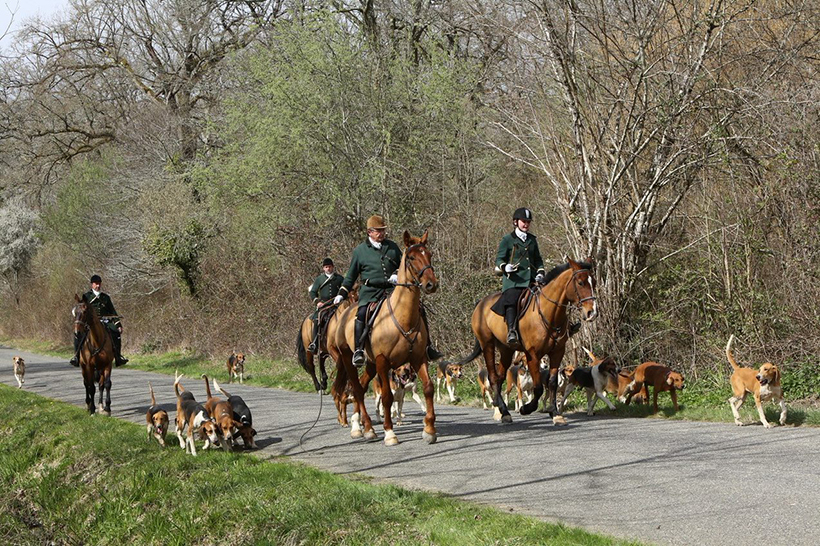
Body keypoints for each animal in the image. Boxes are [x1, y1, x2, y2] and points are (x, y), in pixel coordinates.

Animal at [328, 227, 442, 444]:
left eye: (429, 254)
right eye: (412, 257)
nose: (431, 284)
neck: (402, 317)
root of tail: (344, 314)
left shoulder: (419, 358)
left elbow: (429, 388)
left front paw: (430, 430)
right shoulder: (383, 362)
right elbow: (388, 397)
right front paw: (389, 432)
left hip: (370, 364)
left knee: (362, 385)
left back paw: (360, 424)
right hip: (349, 359)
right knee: (357, 388)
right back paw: (365, 428)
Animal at [458, 260, 600, 424]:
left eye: (593, 282)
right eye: (580, 282)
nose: (592, 313)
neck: (548, 312)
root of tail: (481, 302)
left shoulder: (557, 352)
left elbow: (552, 383)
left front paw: (555, 413)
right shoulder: (532, 354)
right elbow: (538, 387)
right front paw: (526, 408)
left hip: (506, 349)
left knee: (500, 378)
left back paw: (501, 411)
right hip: (487, 345)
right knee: (493, 378)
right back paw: (503, 411)